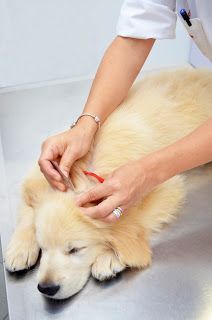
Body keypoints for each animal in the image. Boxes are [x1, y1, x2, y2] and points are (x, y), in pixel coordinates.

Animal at [4, 68, 212, 300]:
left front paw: (109, 257)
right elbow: (27, 213)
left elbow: (137, 222)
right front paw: (20, 248)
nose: (47, 288)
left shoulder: (166, 187)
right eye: (43, 247)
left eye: (75, 250)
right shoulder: (38, 176)